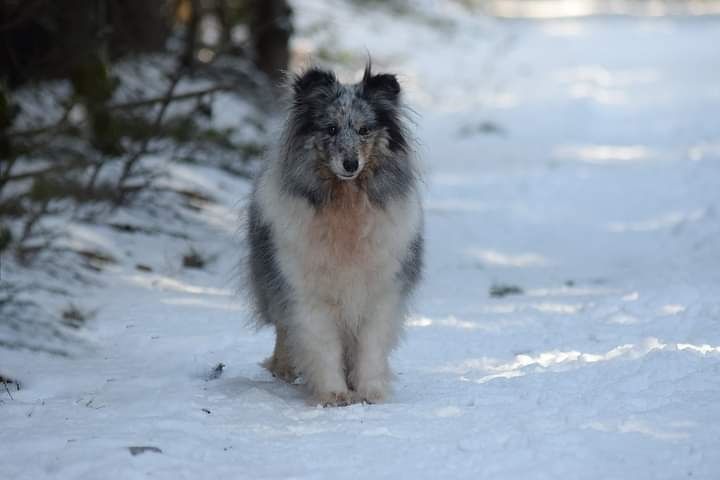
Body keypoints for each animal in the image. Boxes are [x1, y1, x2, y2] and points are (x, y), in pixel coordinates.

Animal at [248, 62, 422, 404]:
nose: (350, 164)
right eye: (330, 129)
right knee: (284, 331)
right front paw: (334, 394)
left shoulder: (380, 292)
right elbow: (322, 346)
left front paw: (369, 392)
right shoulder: (307, 293)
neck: (346, 205)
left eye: (365, 130)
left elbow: (370, 348)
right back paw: (284, 369)